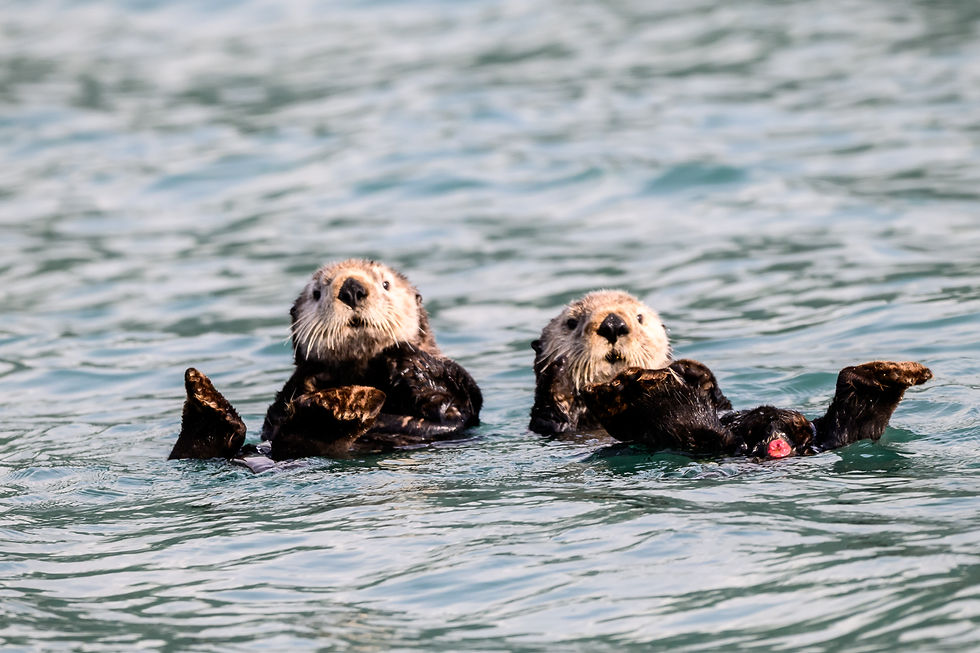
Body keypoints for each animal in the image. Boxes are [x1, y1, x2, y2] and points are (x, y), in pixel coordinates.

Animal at [169, 259, 482, 465]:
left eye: (386, 284)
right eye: (317, 292)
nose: (352, 288)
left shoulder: (456, 389)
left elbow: (454, 401)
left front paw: (401, 356)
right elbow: (280, 407)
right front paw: (313, 378)